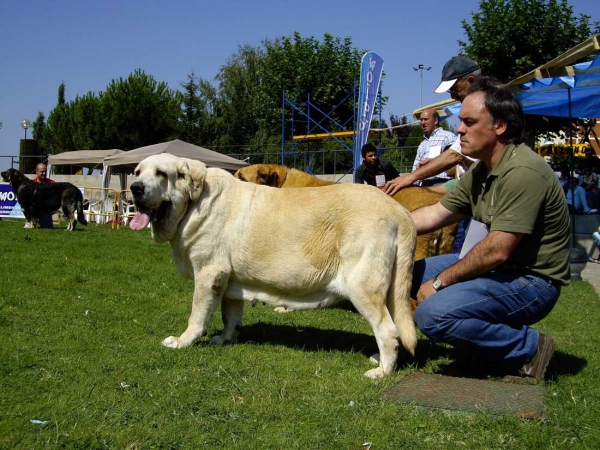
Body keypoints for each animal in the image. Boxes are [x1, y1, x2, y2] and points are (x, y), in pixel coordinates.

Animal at [128, 153, 414, 378]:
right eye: (138, 172)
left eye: (161, 174)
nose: (135, 188)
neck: (193, 204)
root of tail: (398, 211)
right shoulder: (229, 280)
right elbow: (230, 315)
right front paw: (225, 339)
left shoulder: (209, 274)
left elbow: (197, 315)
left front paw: (182, 341)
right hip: (390, 291)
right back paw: (380, 358)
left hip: (362, 287)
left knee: (387, 330)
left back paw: (382, 371)